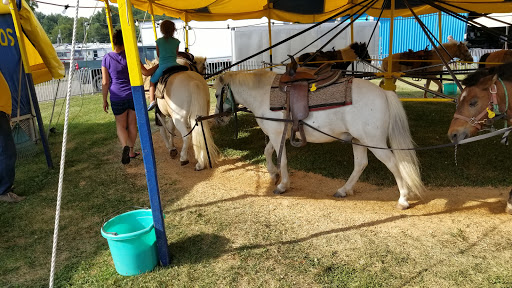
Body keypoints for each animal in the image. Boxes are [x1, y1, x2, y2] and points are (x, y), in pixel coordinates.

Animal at [213, 70, 424, 209]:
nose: (218, 118)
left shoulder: (276, 134)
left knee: (394, 164)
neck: (263, 93)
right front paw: (273, 174)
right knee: (360, 164)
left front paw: (282, 185)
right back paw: (344, 190)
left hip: (375, 143)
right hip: (358, 140)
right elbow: (267, 151)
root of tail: (384, 93)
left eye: (216, 94)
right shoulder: (276, 134)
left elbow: (282, 159)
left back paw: (403, 199)